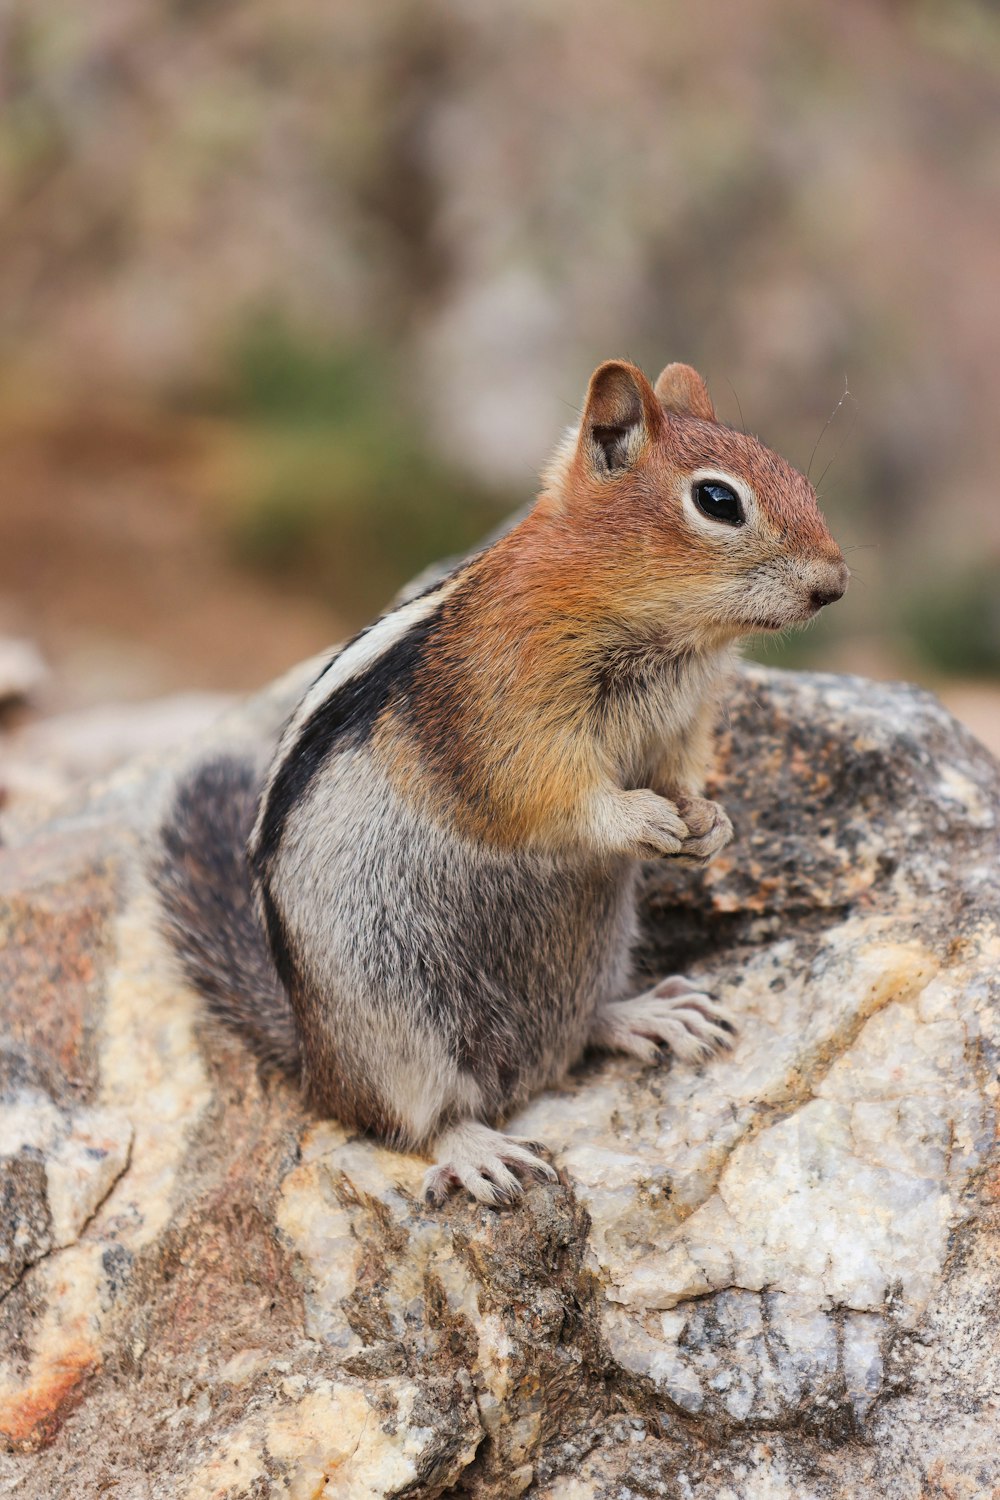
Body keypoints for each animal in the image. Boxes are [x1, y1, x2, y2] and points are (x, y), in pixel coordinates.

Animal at [152, 360, 851, 1206]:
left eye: (797, 478)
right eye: (719, 501)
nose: (835, 583)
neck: (660, 633)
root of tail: (316, 1067)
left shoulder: (683, 724)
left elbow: (681, 775)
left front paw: (710, 823)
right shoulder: (505, 724)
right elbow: (553, 798)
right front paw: (642, 821)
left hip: (594, 950)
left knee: (579, 1031)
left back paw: (648, 1016)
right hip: (393, 1025)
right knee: (415, 1120)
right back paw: (479, 1148)